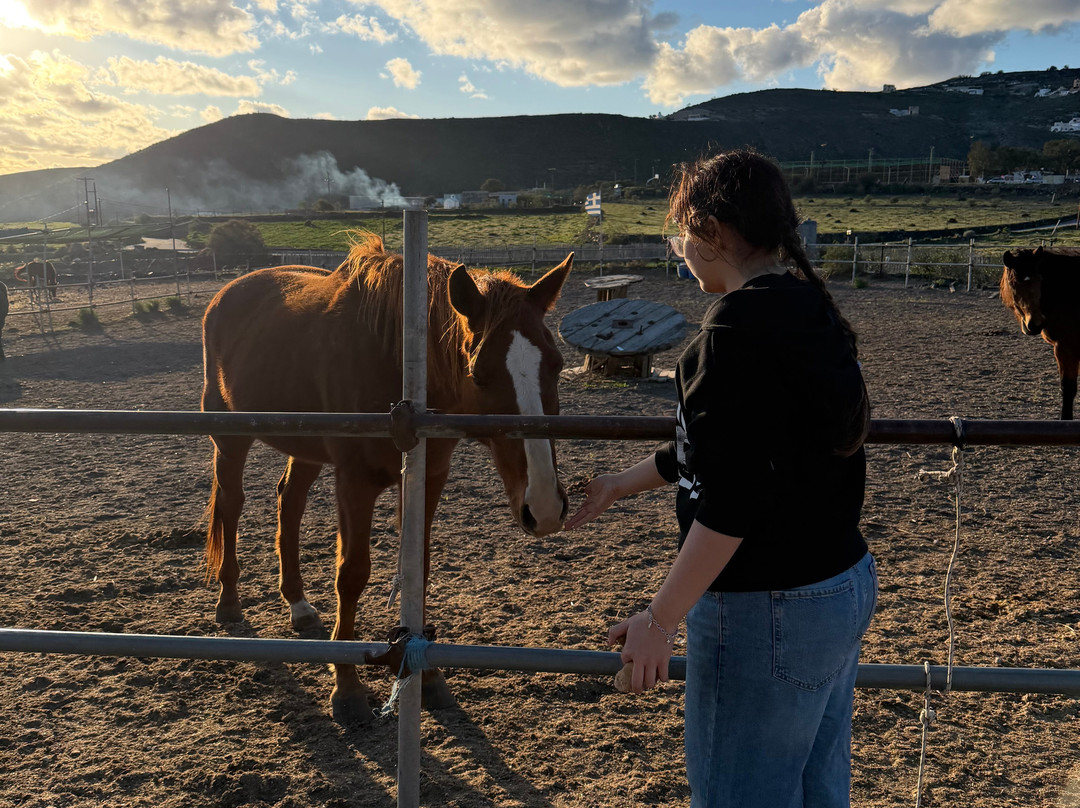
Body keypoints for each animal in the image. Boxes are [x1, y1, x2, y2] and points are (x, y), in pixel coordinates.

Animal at [201, 233, 573, 723]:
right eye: (479, 373)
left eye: (557, 363)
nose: (545, 508)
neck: (399, 370)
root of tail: (228, 292)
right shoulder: (354, 483)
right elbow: (351, 574)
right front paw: (347, 687)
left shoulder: (428, 479)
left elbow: (418, 569)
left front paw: (429, 677)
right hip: (230, 438)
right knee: (231, 503)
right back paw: (228, 601)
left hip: (304, 448)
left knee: (289, 502)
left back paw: (298, 604)